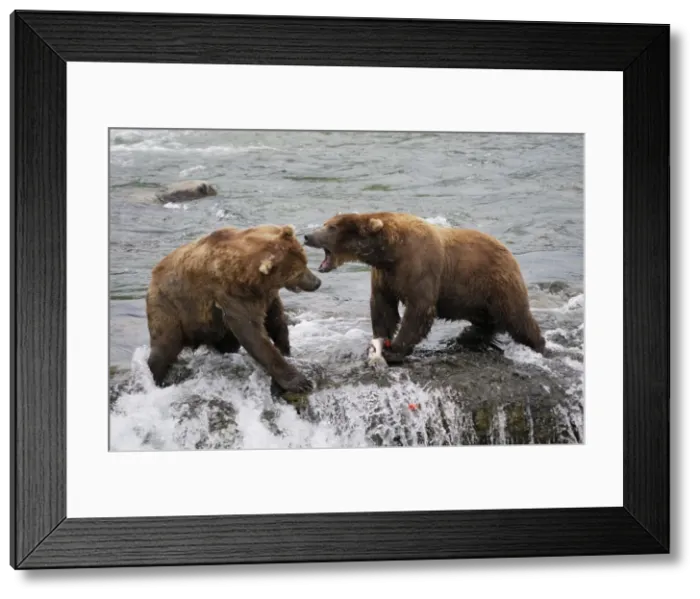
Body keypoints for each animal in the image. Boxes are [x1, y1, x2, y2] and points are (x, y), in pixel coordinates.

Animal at [146, 223, 321, 392]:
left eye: (305, 261)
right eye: (298, 273)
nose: (317, 282)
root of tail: (154, 274)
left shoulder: (265, 294)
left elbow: (275, 318)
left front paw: (285, 348)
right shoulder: (233, 293)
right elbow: (252, 333)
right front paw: (301, 381)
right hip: (170, 306)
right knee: (165, 345)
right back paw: (158, 377)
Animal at [304, 211, 546, 364]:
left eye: (331, 227)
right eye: (325, 223)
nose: (307, 235)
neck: (390, 251)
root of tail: (508, 251)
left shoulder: (419, 266)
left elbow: (419, 309)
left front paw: (394, 350)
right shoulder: (385, 275)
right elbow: (383, 307)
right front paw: (377, 343)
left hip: (495, 282)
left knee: (517, 317)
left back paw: (539, 345)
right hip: (472, 297)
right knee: (486, 321)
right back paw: (467, 336)